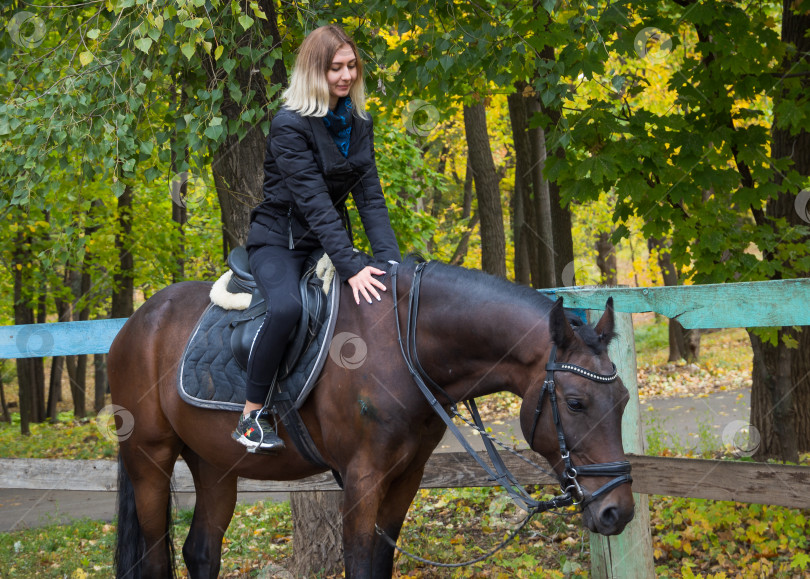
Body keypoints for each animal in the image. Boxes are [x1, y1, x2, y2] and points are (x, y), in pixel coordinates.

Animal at [107, 260, 636, 576]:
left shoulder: (406, 476)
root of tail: (137, 322)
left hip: (216, 464)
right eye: (576, 403)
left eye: (624, 399)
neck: (403, 347)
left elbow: (381, 563)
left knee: (201, 551)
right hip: (149, 457)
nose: (619, 511)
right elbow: (359, 564)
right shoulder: (363, 477)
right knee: (154, 559)